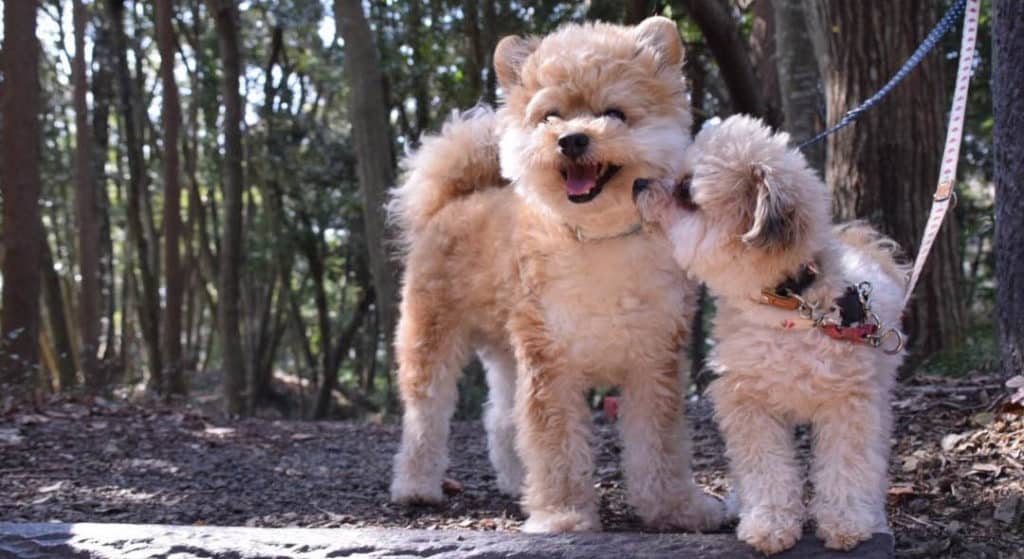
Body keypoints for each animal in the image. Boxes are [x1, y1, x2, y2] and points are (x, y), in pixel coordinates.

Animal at [385, 16, 729, 532]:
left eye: (614, 112)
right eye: (550, 116)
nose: (572, 138)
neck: (600, 240)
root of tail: (455, 199)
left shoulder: (653, 363)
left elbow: (659, 446)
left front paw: (675, 508)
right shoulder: (552, 363)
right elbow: (557, 446)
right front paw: (564, 514)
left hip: (506, 350)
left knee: (501, 419)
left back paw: (515, 482)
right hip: (431, 338)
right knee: (425, 417)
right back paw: (415, 487)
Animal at [634, 114, 909, 552]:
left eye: (685, 192)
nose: (638, 183)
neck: (787, 305)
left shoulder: (847, 405)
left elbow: (847, 466)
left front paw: (846, 521)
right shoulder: (749, 405)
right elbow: (766, 472)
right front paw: (769, 525)